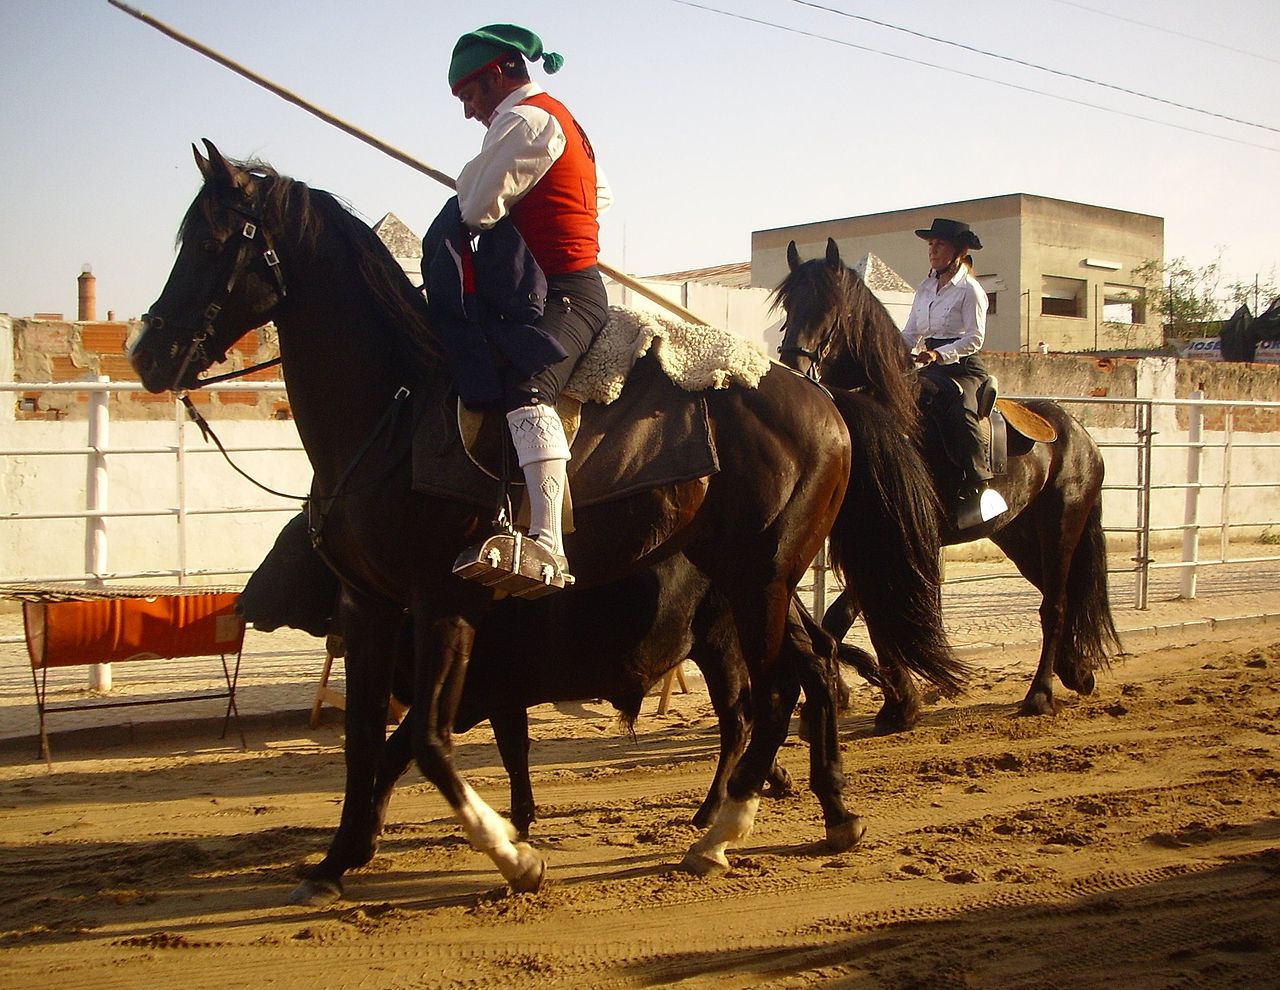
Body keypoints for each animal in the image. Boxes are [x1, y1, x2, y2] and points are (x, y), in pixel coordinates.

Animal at [127, 144, 890, 901]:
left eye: (209, 242)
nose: (148, 354)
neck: (396, 418)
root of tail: (821, 400)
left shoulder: (444, 603)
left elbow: (429, 742)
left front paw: (511, 854)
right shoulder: (371, 606)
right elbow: (365, 740)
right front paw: (339, 859)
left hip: (759, 578)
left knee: (774, 692)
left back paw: (722, 831)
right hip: (752, 579)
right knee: (813, 664)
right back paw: (834, 812)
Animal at [768, 235, 1121, 722]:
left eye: (829, 303)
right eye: (788, 302)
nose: (792, 367)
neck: (892, 420)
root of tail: (1078, 432)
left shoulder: (897, 541)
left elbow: (862, 616)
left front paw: (896, 702)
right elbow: (846, 620)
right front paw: (872, 694)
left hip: (1061, 526)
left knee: (1055, 604)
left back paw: (1040, 695)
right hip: (1019, 535)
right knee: (1058, 596)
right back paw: (1076, 671)